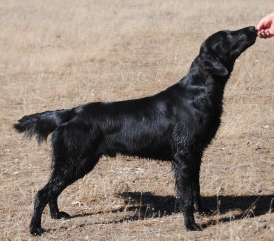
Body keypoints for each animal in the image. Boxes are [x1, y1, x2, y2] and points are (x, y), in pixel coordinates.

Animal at [13, 26, 256, 235]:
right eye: (226, 36)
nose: (253, 28)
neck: (198, 91)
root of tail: (69, 113)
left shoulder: (196, 154)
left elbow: (196, 188)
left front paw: (203, 211)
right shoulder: (184, 156)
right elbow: (186, 195)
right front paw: (191, 224)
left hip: (73, 162)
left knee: (52, 190)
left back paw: (56, 215)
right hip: (76, 161)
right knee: (42, 193)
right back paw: (36, 228)